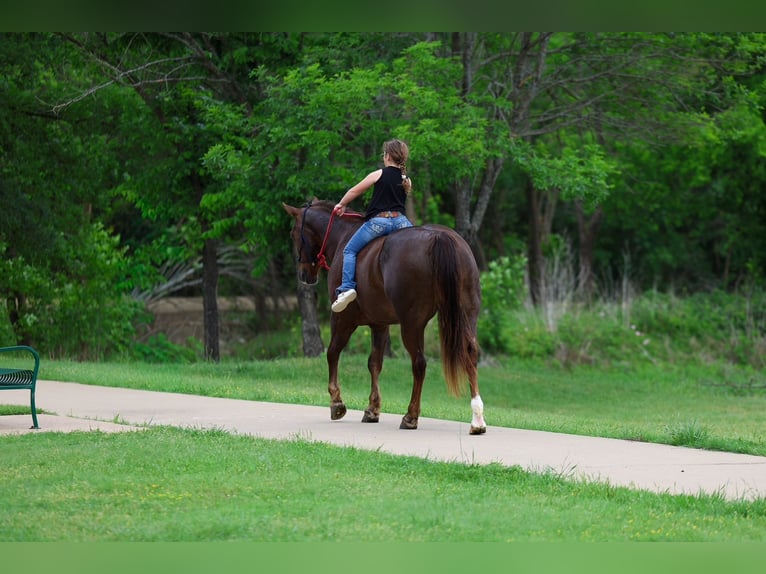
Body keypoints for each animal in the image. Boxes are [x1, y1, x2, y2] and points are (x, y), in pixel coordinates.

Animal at [283, 199, 486, 434]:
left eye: (293, 233)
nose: (304, 274)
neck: (343, 235)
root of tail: (439, 237)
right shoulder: (379, 324)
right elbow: (375, 363)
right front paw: (372, 408)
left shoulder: (343, 319)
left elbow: (332, 353)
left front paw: (336, 402)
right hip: (467, 314)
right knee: (470, 353)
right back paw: (477, 419)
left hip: (412, 323)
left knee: (419, 363)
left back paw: (411, 416)